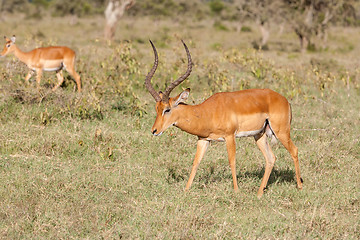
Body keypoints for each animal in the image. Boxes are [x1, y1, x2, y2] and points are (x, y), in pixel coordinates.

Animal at [145, 39, 302, 197]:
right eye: (157, 108)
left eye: (167, 109)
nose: (154, 130)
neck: (206, 112)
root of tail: (284, 100)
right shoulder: (203, 140)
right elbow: (196, 163)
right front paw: (186, 191)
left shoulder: (229, 136)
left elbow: (232, 161)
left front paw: (236, 191)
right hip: (259, 135)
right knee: (271, 158)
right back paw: (259, 193)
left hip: (281, 132)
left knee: (294, 150)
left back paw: (300, 187)